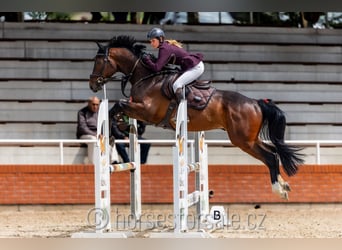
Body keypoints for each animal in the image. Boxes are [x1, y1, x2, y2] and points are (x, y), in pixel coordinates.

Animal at [89, 34, 304, 199]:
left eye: (98, 62)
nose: (92, 84)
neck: (146, 78)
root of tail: (256, 102)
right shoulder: (138, 109)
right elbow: (119, 109)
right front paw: (116, 130)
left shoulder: (147, 112)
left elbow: (118, 105)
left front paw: (110, 135)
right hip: (250, 139)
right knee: (274, 153)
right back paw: (284, 185)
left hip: (242, 140)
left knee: (269, 157)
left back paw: (278, 189)